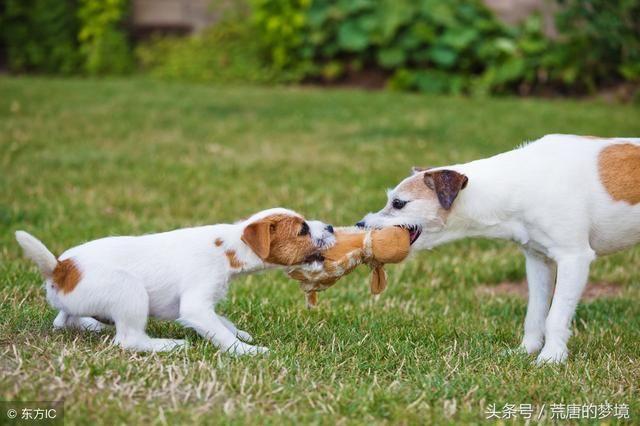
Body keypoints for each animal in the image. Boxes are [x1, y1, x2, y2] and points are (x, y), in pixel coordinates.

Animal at [15, 208, 336, 354]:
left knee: (64, 319)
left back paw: (93, 325)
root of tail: (60, 269)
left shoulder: (202, 306)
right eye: (302, 230)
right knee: (129, 340)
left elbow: (223, 321)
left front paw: (241, 334)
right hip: (130, 290)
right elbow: (220, 333)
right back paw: (169, 344)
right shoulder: (196, 306)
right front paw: (247, 351)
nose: (332, 226)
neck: (230, 246)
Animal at [358, 136, 640, 362]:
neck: (519, 184)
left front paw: (550, 358)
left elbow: (556, 315)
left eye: (398, 203)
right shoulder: (538, 261)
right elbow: (535, 314)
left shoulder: (574, 258)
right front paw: (526, 351)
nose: (360, 225)